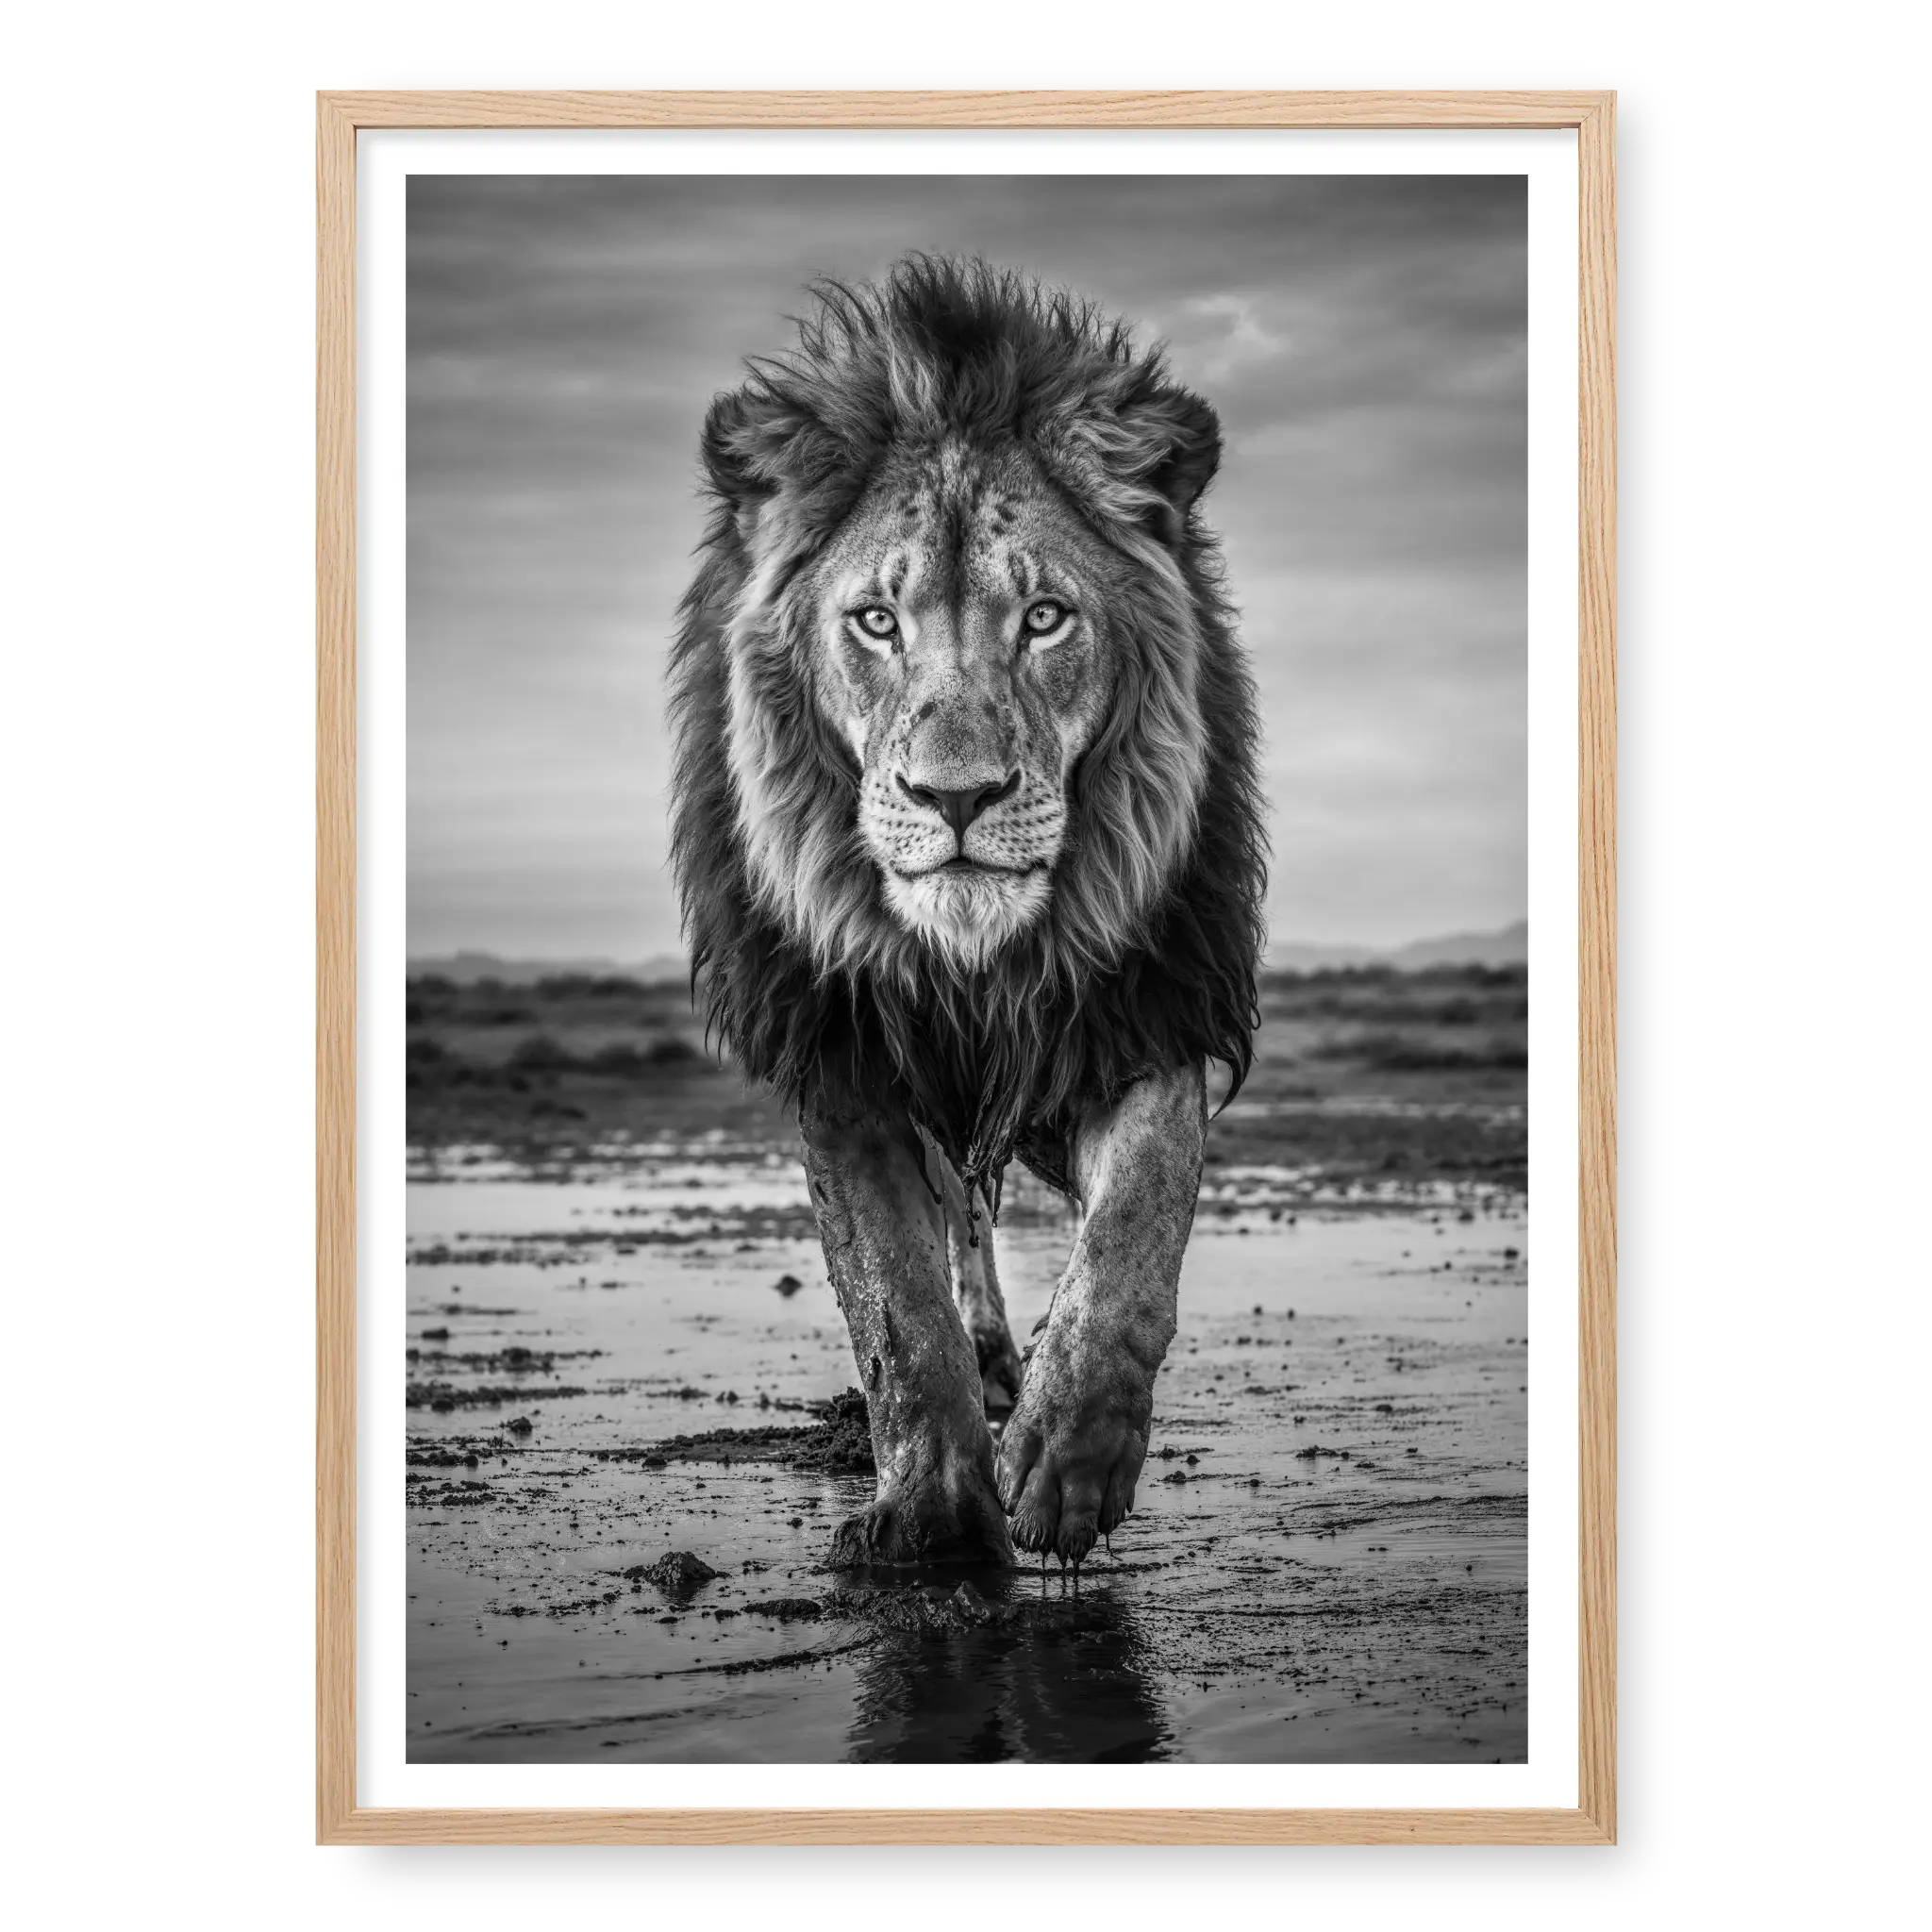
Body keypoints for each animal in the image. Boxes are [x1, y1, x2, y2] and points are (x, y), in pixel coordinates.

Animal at [669, 256, 1265, 1570]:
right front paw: (936, 1514)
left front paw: (1066, 1457)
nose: (956, 796)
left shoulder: (1142, 1007)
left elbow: (1133, 1229)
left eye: (1042, 618)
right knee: (957, 1233)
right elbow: (894, 1301)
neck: (977, 960)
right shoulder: (841, 1052)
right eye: (874, 621)